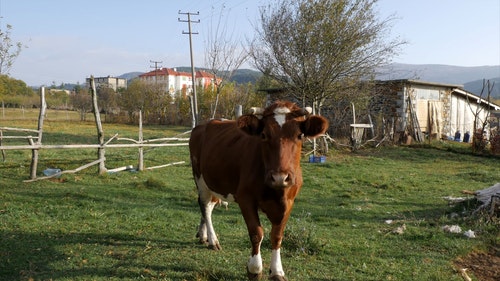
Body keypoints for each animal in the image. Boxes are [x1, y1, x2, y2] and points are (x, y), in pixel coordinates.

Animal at [188, 99, 328, 278]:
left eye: (300, 135)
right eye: (264, 135)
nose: (280, 177)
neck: (276, 192)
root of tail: (205, 124)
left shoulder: (289, 202)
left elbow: (277, 236)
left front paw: (277, 271)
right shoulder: (245, 199)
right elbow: (256, 233)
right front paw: (254, 269)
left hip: (215, 181)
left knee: (210, 206)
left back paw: (203, 235)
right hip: (200, 178)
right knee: (205, 206)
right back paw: (213, 240)